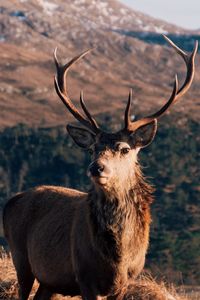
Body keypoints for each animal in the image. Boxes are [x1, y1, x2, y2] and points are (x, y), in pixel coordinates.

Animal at [2, 37, 198, 300]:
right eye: (92, 149)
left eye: (125, 149)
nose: (97, 168)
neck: (118, 260)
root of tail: (10, 202)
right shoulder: (84, 276)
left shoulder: (126, 281)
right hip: (20, 258)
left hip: (49, 280)